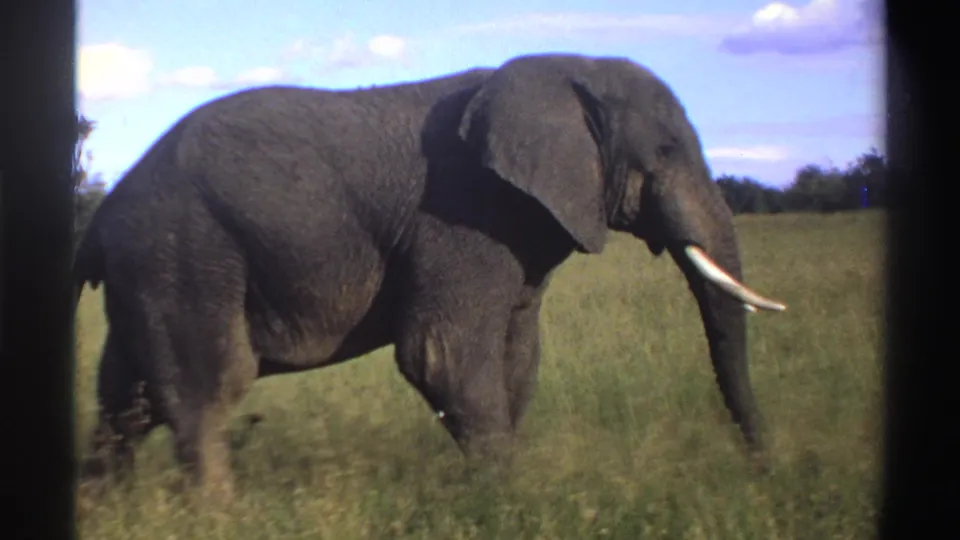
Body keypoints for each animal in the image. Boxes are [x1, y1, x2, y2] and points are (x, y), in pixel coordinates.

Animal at [73, 52, 786, 499]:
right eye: (665, 150)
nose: (763, 473)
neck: (565, 70)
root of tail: (103, 215)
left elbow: (517, 359)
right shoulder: (460, 214)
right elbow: (442, 355)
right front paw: (507, 503)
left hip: (153, 269)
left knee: (126, 400)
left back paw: (110, 510)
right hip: (186, 251)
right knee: (205, 390)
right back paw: (219, 515)